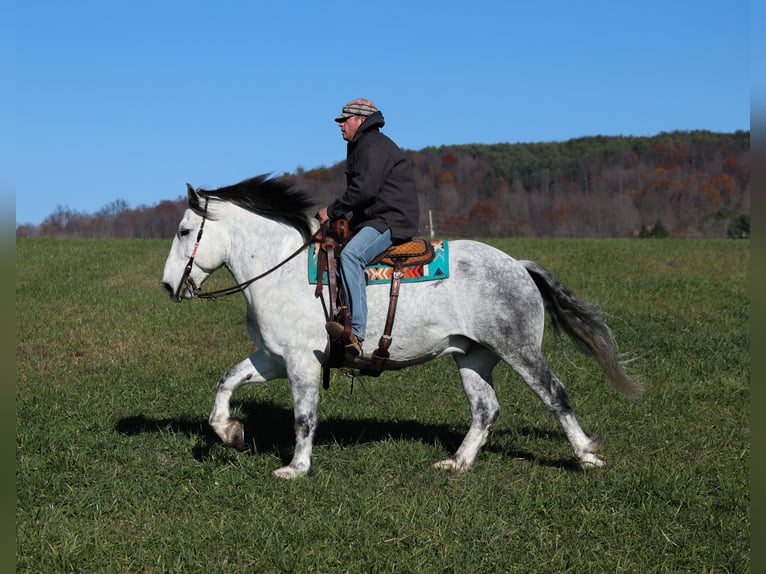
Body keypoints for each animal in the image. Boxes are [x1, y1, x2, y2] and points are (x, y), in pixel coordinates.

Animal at [162, 177, 640, 482]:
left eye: (185, 230)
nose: (168, 286)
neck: (284, 270)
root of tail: (518, 265)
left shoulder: (301, 362)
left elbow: (304, 417)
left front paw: (295, 469)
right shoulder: (273, 358)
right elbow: (226, 381)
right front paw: (230, 432)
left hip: (519, 350)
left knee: (555, 394)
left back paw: (587, 457)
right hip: (473, 357)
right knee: (485, 410)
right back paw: (457, 464)